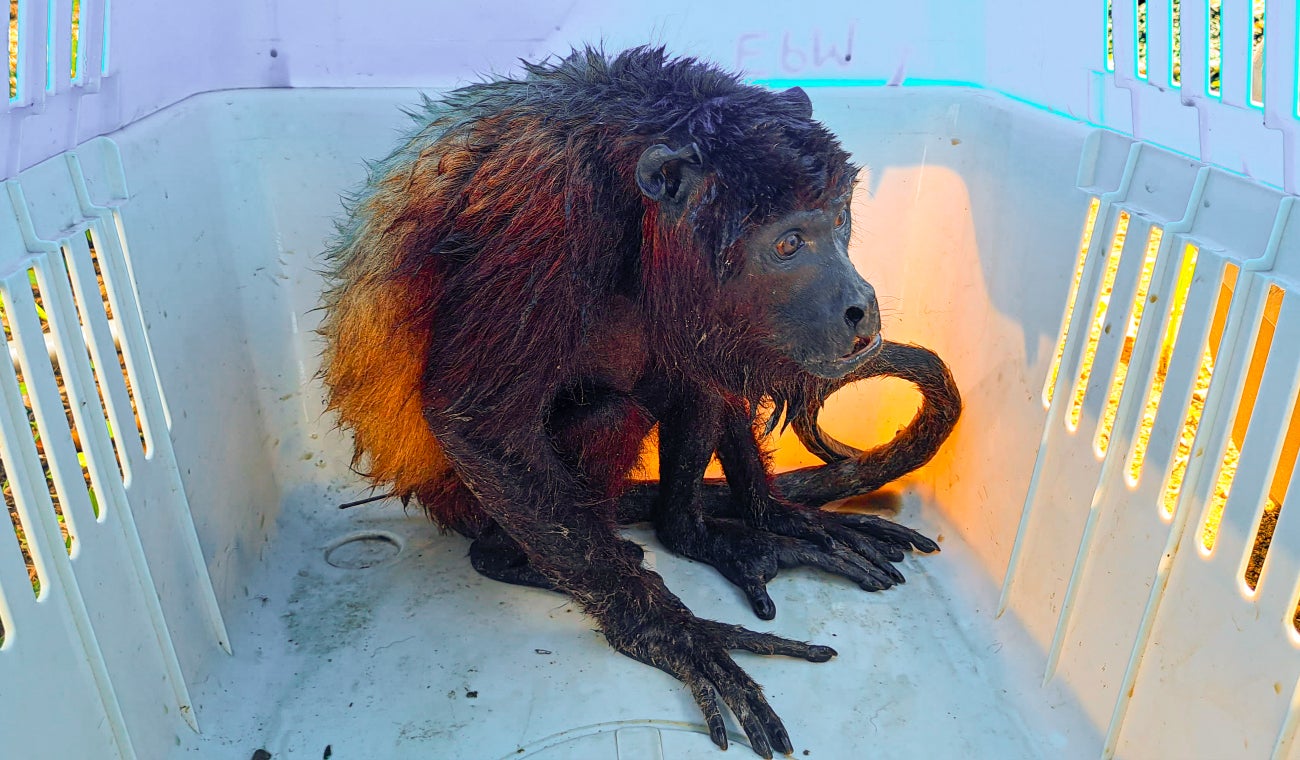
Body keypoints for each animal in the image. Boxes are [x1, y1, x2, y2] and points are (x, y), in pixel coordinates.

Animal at [319, 46, 961, 758]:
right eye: (788, 243)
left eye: (840, 220)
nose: (860, 306)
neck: (626, 157)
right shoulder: (546, 216)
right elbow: (477, 420)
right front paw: (668, 632)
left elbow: (707, 369)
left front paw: (775, 516)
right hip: (476, 500)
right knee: (610, 414)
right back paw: (519, 559)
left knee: (682, 368)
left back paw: (696, 531)